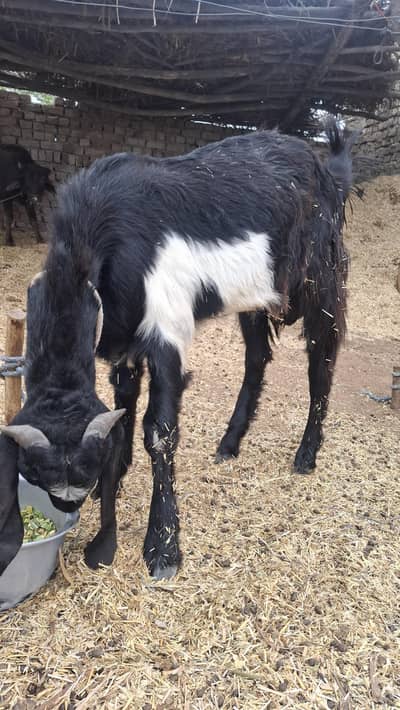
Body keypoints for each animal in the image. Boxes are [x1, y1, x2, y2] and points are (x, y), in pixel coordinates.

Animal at [0, 121, 356, 580]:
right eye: (40, 474)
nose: (68, 504)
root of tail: (328, 172)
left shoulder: (166, 332)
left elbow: (160, 431)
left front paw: (163, 547)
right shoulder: (123, 340)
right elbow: (124, 407)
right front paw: (116, 482)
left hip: (322, 279)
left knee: (322, 359)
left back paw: (307, 453)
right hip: (254, 296)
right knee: (257, 357)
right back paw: (229, 442)